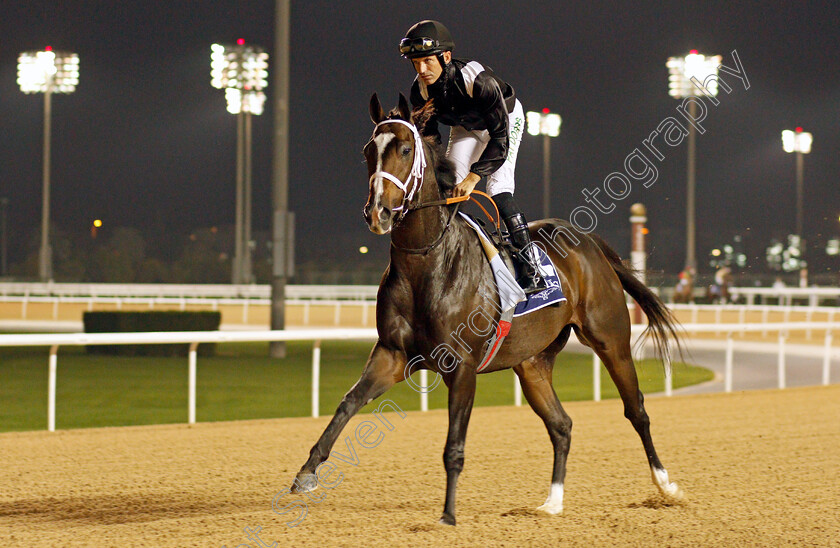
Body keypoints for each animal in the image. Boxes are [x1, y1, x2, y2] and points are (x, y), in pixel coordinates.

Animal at [292, 95, 684, 528]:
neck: (427, 263)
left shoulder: (461, 366)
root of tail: (589, 243)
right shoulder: (392, 355)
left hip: (610, 339)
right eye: (367, 151)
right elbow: (348, 403)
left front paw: (448, 514)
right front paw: (306, 473)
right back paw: (552, 502)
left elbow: (454, 445)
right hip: (532, 363)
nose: (378, 212)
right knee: (561, 425)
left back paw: (666, 486)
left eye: (406, 149)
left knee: (637, 411)